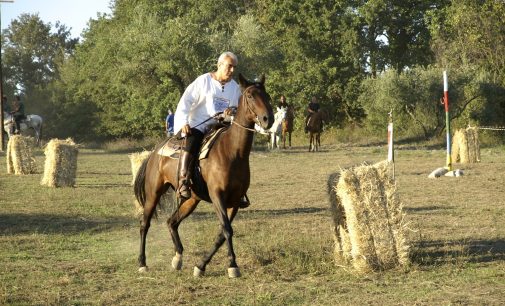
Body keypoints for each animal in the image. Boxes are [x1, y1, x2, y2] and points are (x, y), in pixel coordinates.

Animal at [133, 73, 272, 278]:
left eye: (267, 95)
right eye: (250, 95)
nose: (267, 118)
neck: (232, 153)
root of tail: (154, 152)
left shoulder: (235, 201)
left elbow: (222, 233)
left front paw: (201, 266)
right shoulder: (217, 196)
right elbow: (227, 230)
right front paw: (232, 265)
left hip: (192, 199)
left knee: (172, 222)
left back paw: (177, 258)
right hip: (153, 193)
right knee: (145, 223)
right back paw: (142, 263)